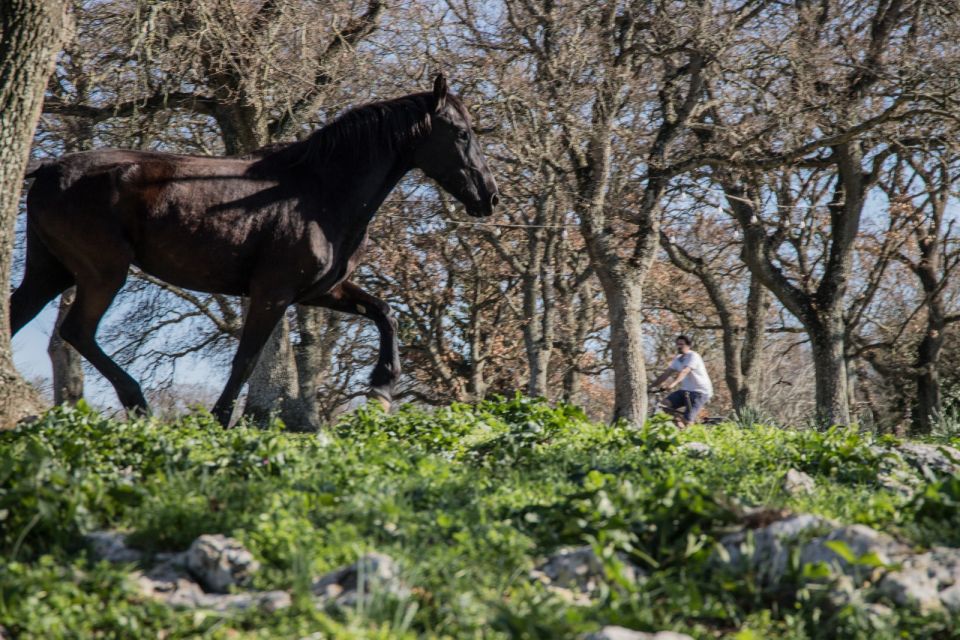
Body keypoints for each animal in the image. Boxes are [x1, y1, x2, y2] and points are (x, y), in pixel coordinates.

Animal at [11, 75, 498, 424]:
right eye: (461, 133)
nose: (489, 197)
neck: (319, 192)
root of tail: (49, 168)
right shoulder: (272, 294)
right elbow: (245, 360)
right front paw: (220, 419)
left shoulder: (321, 291)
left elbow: (385, 312)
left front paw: (381, 388)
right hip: (103, 272)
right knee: (78, 331)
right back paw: (138, 404)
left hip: (50, 271)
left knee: (20, 317)